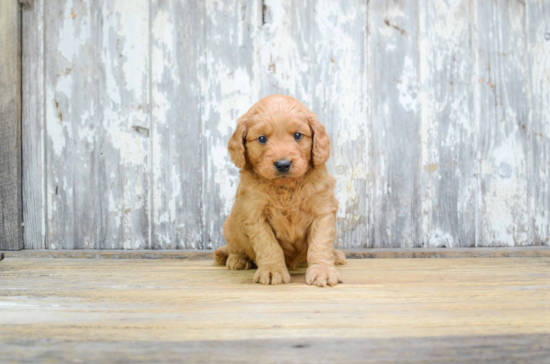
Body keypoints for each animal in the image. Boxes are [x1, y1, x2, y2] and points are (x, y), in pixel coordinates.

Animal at [215, 94, 348, 288]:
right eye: (262, 139)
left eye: (298, 135)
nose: (283, 164)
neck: (286, 187)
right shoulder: (255, 215)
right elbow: (268, 245)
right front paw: (272, 270)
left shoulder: (322, 210)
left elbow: (320, 243)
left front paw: (322, 270)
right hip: (229, 226)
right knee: (234, 247)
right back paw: (238, 259)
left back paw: (336, 255)